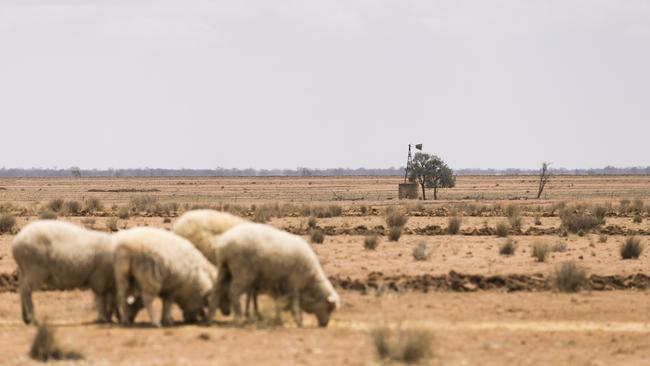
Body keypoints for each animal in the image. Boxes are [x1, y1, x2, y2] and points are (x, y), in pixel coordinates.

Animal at [209, 222, 342, 328]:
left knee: (216, 289)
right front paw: (298, 321)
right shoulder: (293, 284)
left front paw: (279, 319)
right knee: (234, 292)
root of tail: (223, 243)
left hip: (224, 269)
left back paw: (210, 316)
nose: (324, 324)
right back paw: (239, 318)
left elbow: (279, 302)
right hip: (243, 272)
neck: (311, 280)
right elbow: (294, 303)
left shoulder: (281, 284)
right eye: (329, 308)